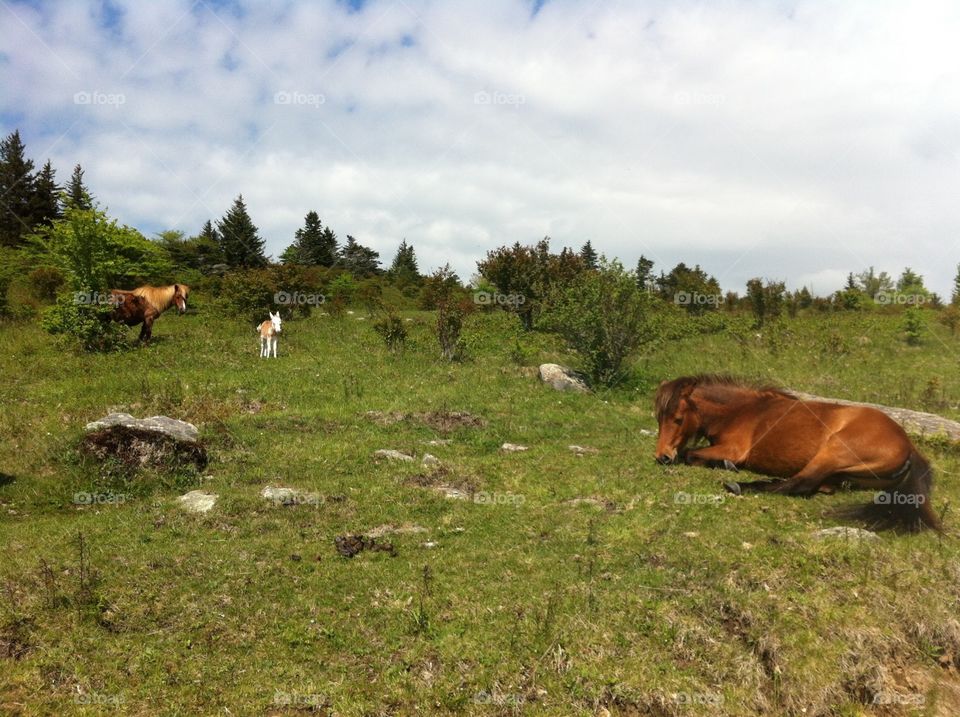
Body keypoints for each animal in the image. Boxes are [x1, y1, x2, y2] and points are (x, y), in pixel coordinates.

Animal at [653, 374, 940, 531]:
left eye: (678, 419)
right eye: (658, 418)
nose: (662, 457)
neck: (740, 411)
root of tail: (909, 446)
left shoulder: (733, 449)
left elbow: (691, 455)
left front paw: (727, 466)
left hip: (834, 451)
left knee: (800, 483)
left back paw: (739, 486)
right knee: (819, 485)